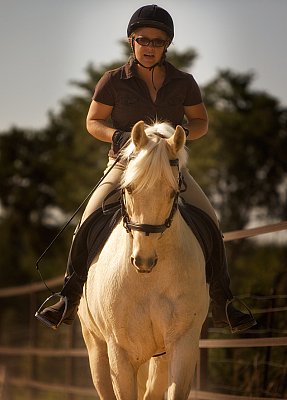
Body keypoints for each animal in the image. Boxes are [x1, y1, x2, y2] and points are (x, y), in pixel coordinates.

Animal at [78, 121, 209, 400]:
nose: (143, 260)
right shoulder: (120, 353)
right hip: (96, 346)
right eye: (128, 188)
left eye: (172, 192)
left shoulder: (182, 345)